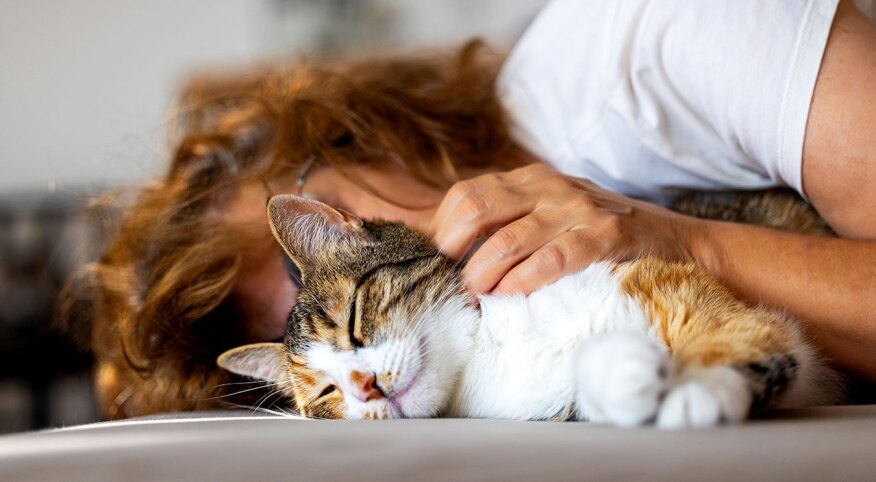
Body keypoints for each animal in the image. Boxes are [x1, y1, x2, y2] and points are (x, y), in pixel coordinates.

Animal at [216, 194, 840, 428]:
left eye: (353, 318)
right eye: (327, 394)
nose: (365, 385)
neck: (489, 354)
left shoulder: (690, 293)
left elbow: (737, 331)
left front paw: (700, 389)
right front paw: (629, 374)